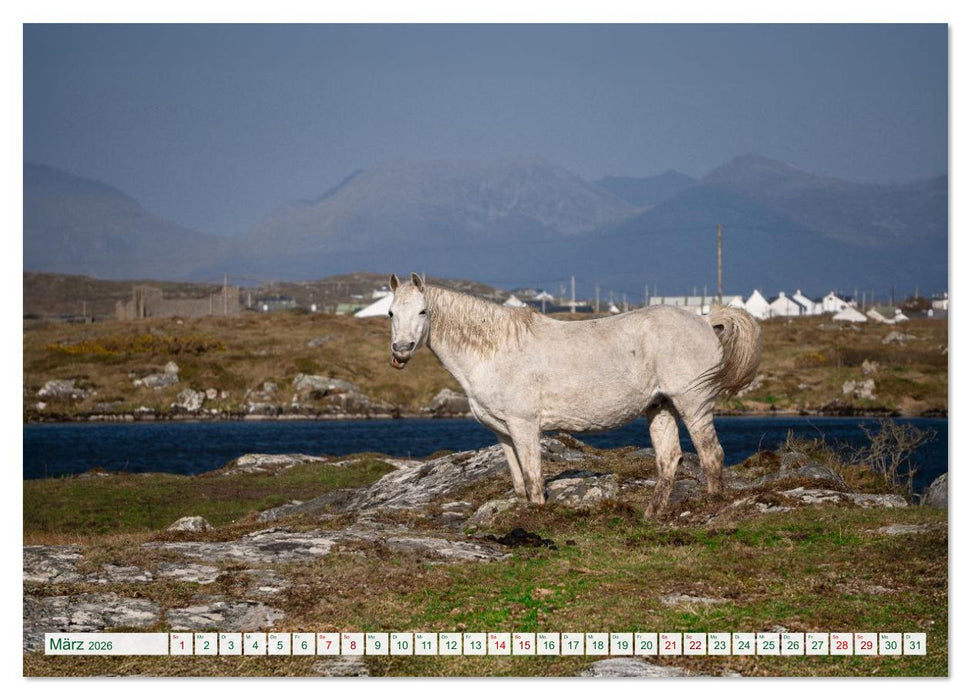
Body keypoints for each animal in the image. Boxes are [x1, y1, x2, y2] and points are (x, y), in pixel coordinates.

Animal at [387, 272, 762, 516]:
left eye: (423, 311)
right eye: (391, 313)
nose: (401, 351)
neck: (494, 351)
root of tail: (706, 321)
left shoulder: (525, 425)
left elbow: (533, 476)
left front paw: (538, 516)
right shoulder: (503, 431)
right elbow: (518, 480)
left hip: (693, 402)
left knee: (711, 453)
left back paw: (710, 507)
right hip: (661, 406)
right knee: (670, 460)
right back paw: (651, 515)